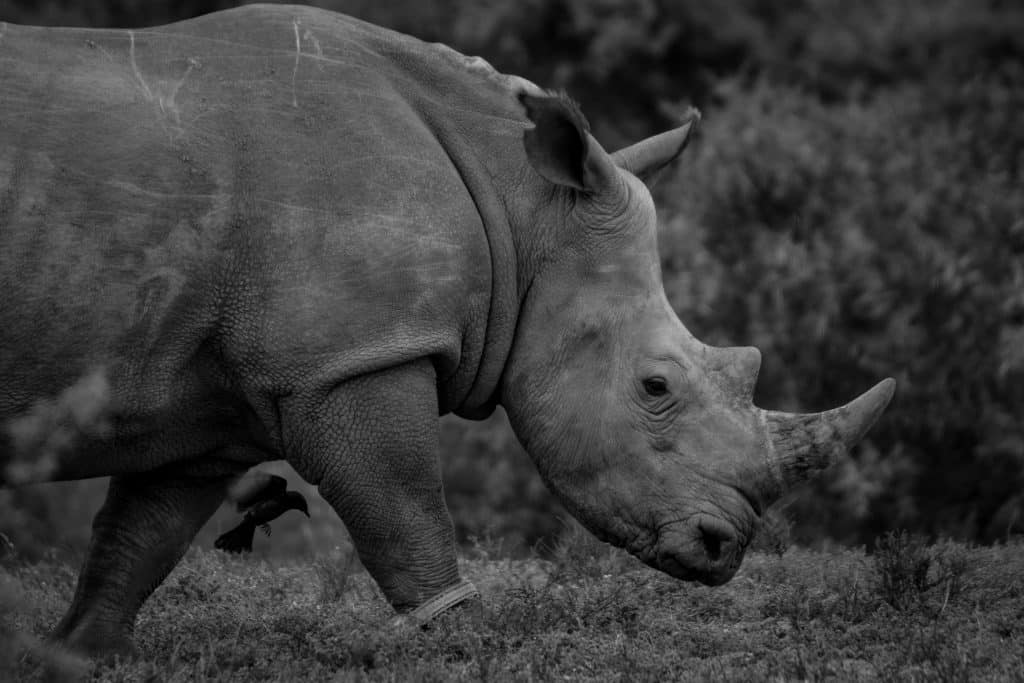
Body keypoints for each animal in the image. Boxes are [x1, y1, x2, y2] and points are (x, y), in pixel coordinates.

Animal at [0, 4, 894, 660]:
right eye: (655, 386)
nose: (722, 548)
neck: (520, 205)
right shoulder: (350, 359)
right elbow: (403, 508)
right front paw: (465, 641)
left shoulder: (205, 395)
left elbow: (137, 539)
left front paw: (74, 654)